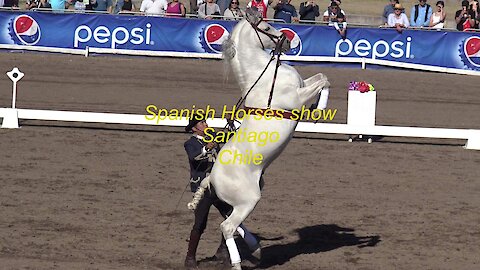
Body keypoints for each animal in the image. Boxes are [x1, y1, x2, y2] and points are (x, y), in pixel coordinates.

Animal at [188, 8, 330, 270]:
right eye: (265, 26)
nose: (288, 40)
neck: (263, 74)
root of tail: (211, 177)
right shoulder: (297, 97)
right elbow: (323, 80)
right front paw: (319, 110)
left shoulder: (303, 85)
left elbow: (321, 76)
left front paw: (318, 107)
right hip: (248, 200)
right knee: (227, 226)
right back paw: (237, 262)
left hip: (241, 199)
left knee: (232, 224)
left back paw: (256, 248)